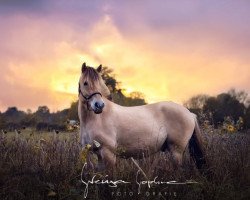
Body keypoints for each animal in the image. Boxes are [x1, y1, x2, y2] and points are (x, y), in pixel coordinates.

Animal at [78, 63, 207, 171]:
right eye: (85, 83)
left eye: (101, 83)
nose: (99, 106)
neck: (96, 120)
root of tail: (190, 114)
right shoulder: (94, 154)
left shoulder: (108, 154)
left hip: (176, 152)